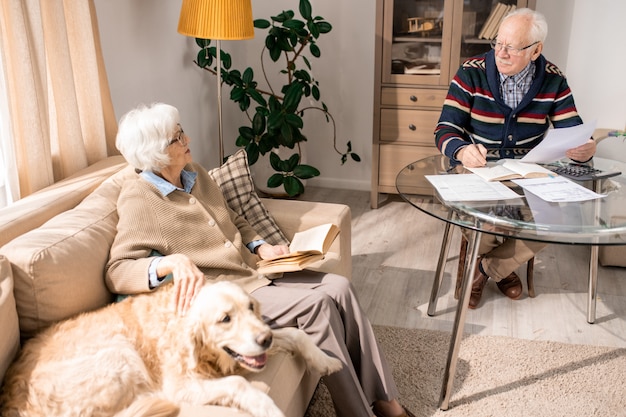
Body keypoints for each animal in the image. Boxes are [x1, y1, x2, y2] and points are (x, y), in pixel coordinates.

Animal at [1, 280, 342, 416]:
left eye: (251, 308)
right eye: (225, 319)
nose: (265, 340)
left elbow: (295, 334)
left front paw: (324, 360)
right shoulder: (180, 386)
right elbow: (236, 382)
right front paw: (265, 405)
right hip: (119, 353)